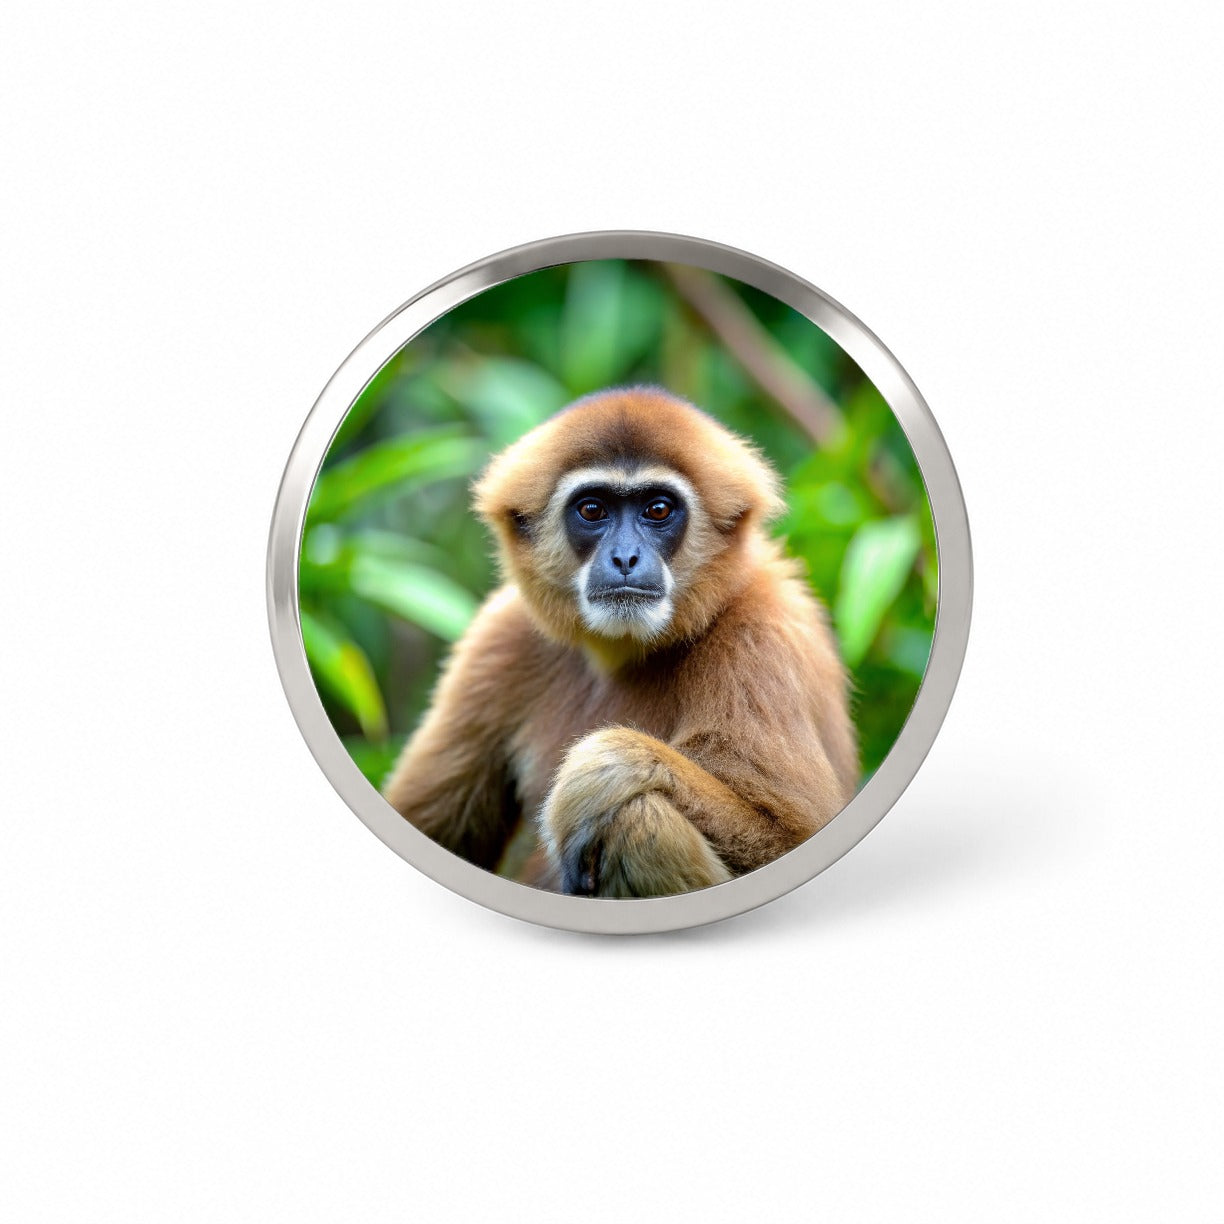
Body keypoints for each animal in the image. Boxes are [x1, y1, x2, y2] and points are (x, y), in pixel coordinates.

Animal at [383, 386, 858, 897]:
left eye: (658, 510)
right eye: (592, 510)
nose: (625, 556)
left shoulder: (759, 635)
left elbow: (789, 836)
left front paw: (603, 770)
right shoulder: (499, 637)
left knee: (637, 819)